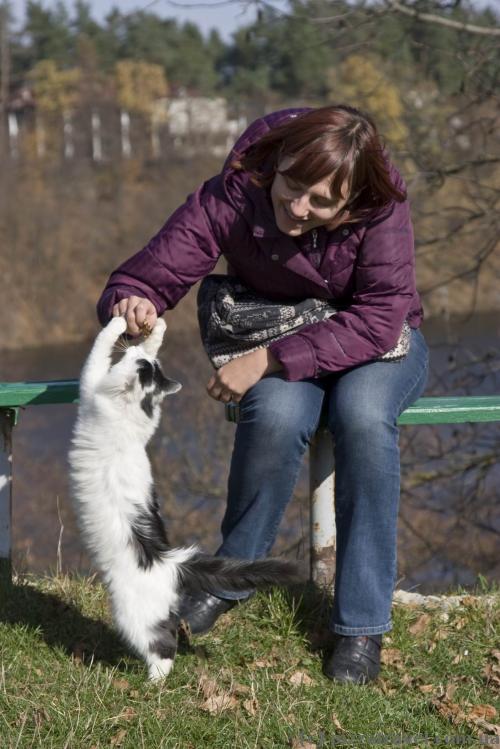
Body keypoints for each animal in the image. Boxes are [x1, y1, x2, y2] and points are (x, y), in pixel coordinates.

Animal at [68, 316, 298, 676]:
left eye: (140, 364)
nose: (134, 348)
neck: (128, 412)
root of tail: (172, 562)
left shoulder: (91, 385)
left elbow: (99, 347)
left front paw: (119, 323)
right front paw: (155, 327)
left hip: (133, 619)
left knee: (163, 649)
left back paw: (153, 683)